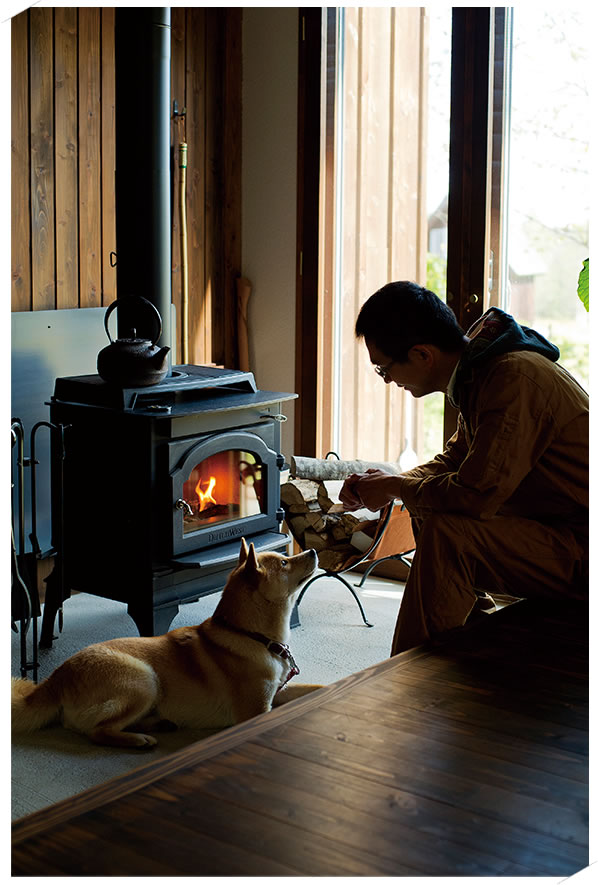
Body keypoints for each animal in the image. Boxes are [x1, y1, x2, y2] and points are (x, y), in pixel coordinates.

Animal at [11, 540, 322, 744]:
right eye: (284, 562)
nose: (313, 550)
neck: (249, 634)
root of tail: (55, 679)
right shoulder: (255, 710)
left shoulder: (278, 691)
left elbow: (316, 688)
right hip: (145, 680)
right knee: (97, 732)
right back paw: (139, 739)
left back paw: (159, 724)